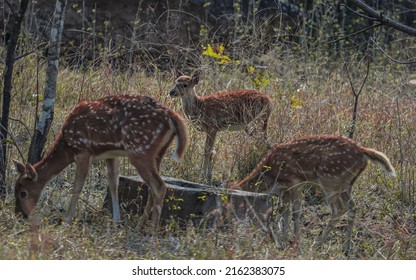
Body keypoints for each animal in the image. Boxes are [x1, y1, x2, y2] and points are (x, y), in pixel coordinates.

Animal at [13, 94, 187, 232]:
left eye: (23, 193)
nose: (20, 214)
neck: (67, 146)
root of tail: (173, 116)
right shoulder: (111, 155)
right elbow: (113, 183)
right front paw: (116, 221)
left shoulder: (83, 151)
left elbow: (77, 186)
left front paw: (67, 221)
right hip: (157, 153)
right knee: (152, 188)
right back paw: (139, 227)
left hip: (140, 150)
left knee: (159, 186)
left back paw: (151, 232)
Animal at [231, 134, 396, 254]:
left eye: (236, 203)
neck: (270, 175)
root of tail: (363, 152)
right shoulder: (284, 189)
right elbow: (284, 211)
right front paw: (282, 240)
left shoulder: (294, 180)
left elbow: (296, 211)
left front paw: (296, 244)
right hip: (345, 184)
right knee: (352, 207)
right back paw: (346, 247)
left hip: (329, 177)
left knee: (338, 208)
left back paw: (317, 245)